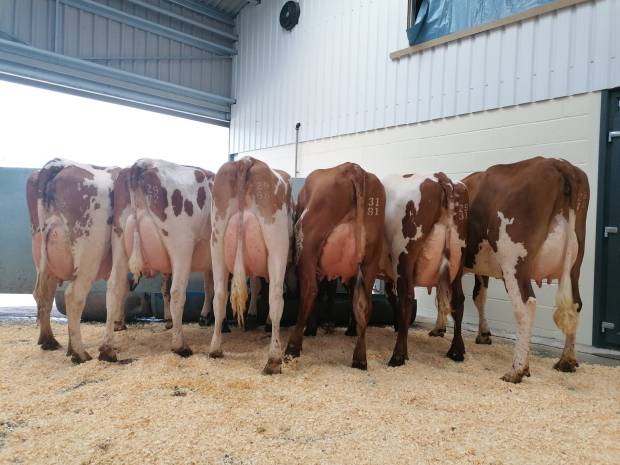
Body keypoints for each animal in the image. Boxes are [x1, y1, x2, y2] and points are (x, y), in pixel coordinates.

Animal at [26, 158, 120, 360]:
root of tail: (57, 164)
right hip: (89, 254)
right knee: (73, 296)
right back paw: (79, 353)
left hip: (43, 256)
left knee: (43, 294)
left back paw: (50, 342)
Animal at [97, 159, 213, 358]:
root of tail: (142, 163)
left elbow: (209, 287)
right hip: (181, 244)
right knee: (177, 292)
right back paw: (180, 345)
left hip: (119, 241)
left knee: (114, 287)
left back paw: (107, 348)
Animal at [209, 156, 294, 374]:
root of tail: (246, 160)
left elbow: (254, 285)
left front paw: (252, 314)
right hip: (277, 245)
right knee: (275, 296)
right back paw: (273, 360)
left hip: (217, 241)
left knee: (219, 295)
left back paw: (215, 349)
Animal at [380, 171, 468, 366]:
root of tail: (439, 177)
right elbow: (390, 296)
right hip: (458, 262)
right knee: (458, 301)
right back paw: (456, 351)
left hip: (404, 256)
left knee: (406, 299)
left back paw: (398, 355)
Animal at [458, 156, 588, 380]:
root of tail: (556, 162)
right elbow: (478, 296)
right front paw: (483, 334)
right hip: (574, 267)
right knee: (575, 304)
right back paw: (566, 361)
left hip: (514, 261)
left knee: (525, 306)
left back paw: (517, 369)